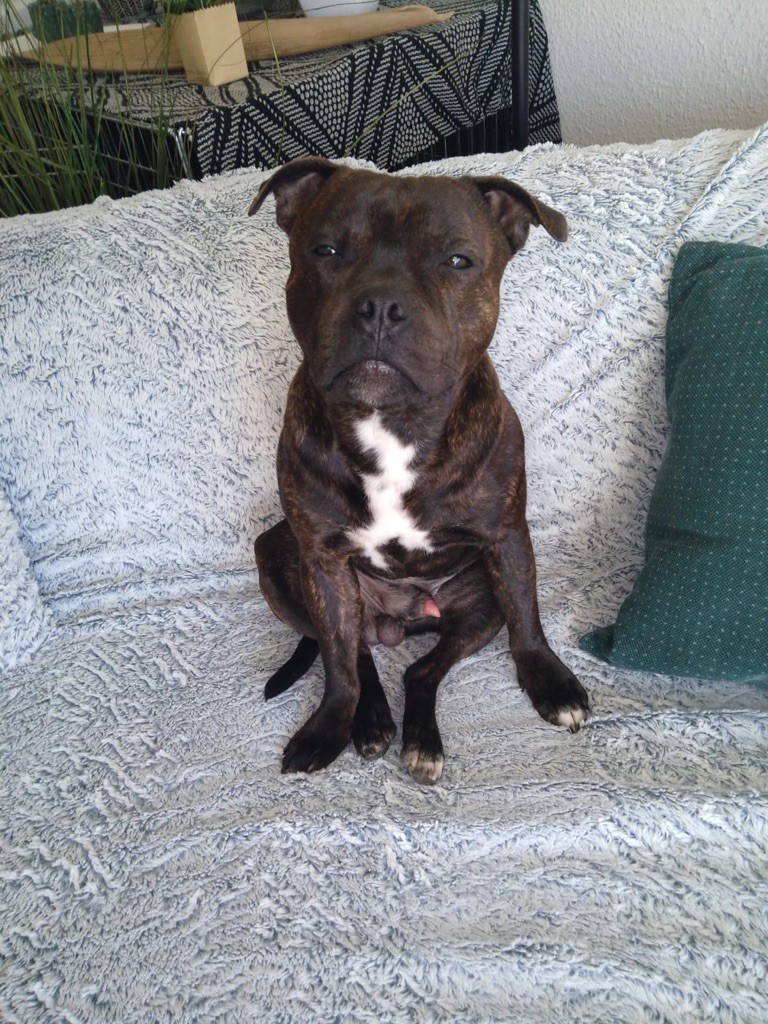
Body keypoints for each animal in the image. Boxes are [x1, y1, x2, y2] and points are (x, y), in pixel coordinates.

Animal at [248, 157, 590, 783]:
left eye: (457, 260)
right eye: (326, 249)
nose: (381, 305)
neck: (391, 423)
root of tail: (400, 619)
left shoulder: (507, 538)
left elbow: (527, 621)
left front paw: (550, 685)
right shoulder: (321, 560)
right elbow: (338, 665)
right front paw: (329, 726)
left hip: (478, 605)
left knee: (421, 667)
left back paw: (420, 741)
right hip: (281, 562)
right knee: (355, 652)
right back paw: (370, 723)